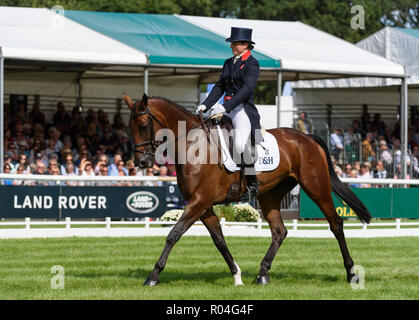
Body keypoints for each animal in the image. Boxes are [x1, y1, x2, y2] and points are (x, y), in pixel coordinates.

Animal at [124, 94, 370, 286]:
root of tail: (307, 137)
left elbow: (173, 234)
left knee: (335, 224)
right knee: (279, 231)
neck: (193, 145)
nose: (141, 163)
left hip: (316, 187)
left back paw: (351, 274)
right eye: (129, 127)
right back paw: (262, 274)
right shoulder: (203, 205)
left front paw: (153, 275)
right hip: (270, 194)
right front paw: (237, 276)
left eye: (144, 125)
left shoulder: (199, 201)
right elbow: (219, 240)